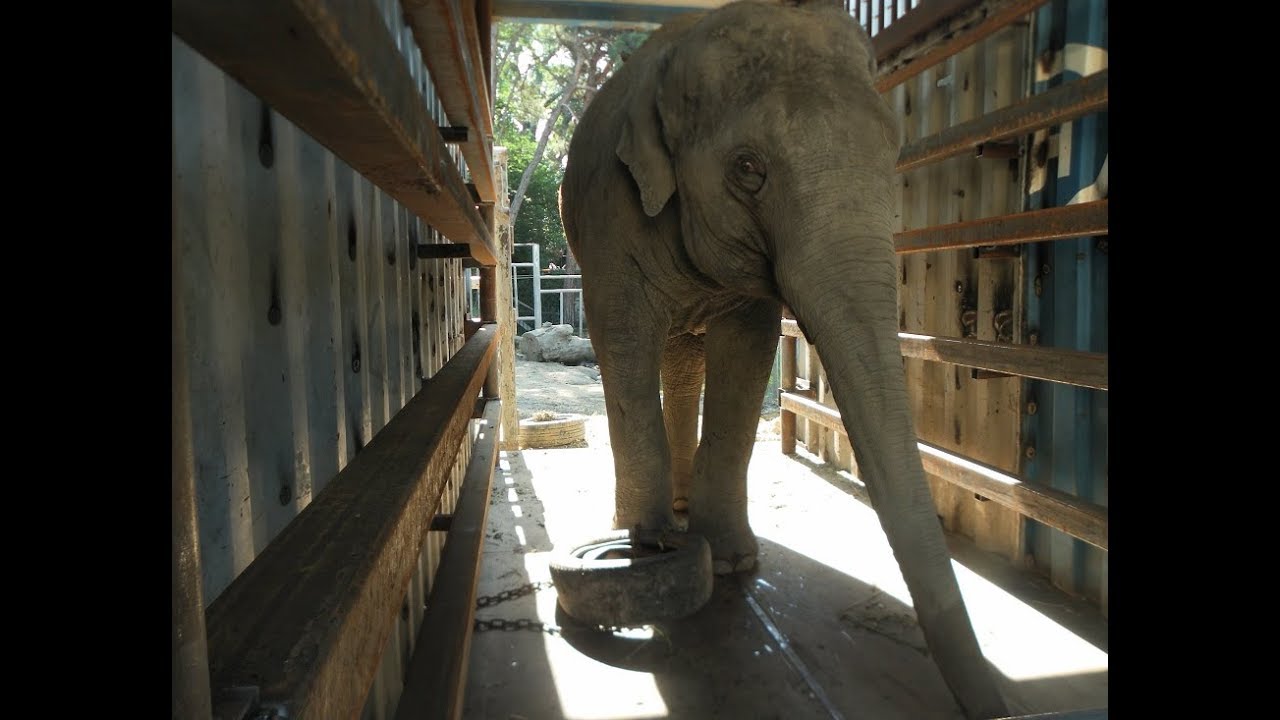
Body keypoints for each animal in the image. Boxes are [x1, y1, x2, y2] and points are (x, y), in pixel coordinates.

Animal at [558, 1, 1008, 717]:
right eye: (748, 168)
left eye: (894, 150)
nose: (993, 704)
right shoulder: (611, 214)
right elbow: (622, 342)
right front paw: (642, 544)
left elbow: (747, 351)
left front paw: (730, 563)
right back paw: (663, 522)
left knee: (684, 361)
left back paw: (685, 517)